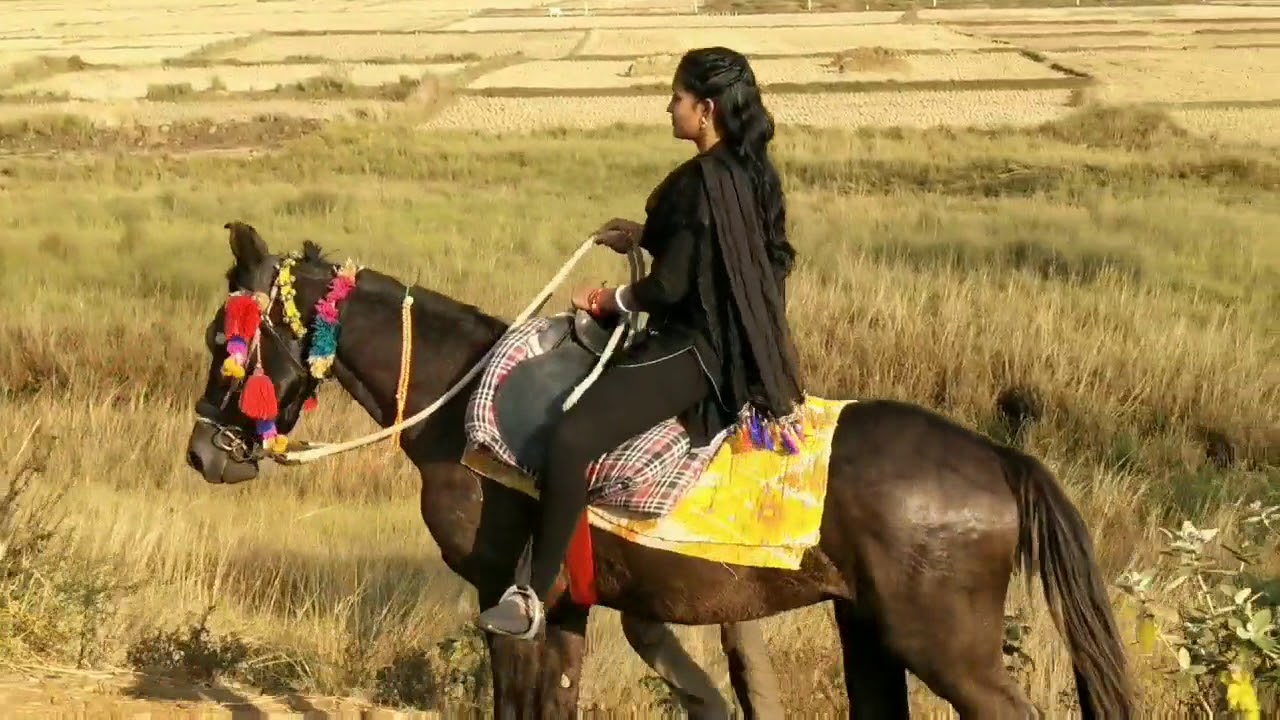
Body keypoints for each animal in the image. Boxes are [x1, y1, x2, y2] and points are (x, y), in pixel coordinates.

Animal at [183, 222, 1136, 719]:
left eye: (224, 340)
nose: (204, 454)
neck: (462, 407)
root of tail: (998, 459)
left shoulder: (506, 597)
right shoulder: (566, 608)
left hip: (943, 643)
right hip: (869, 628)